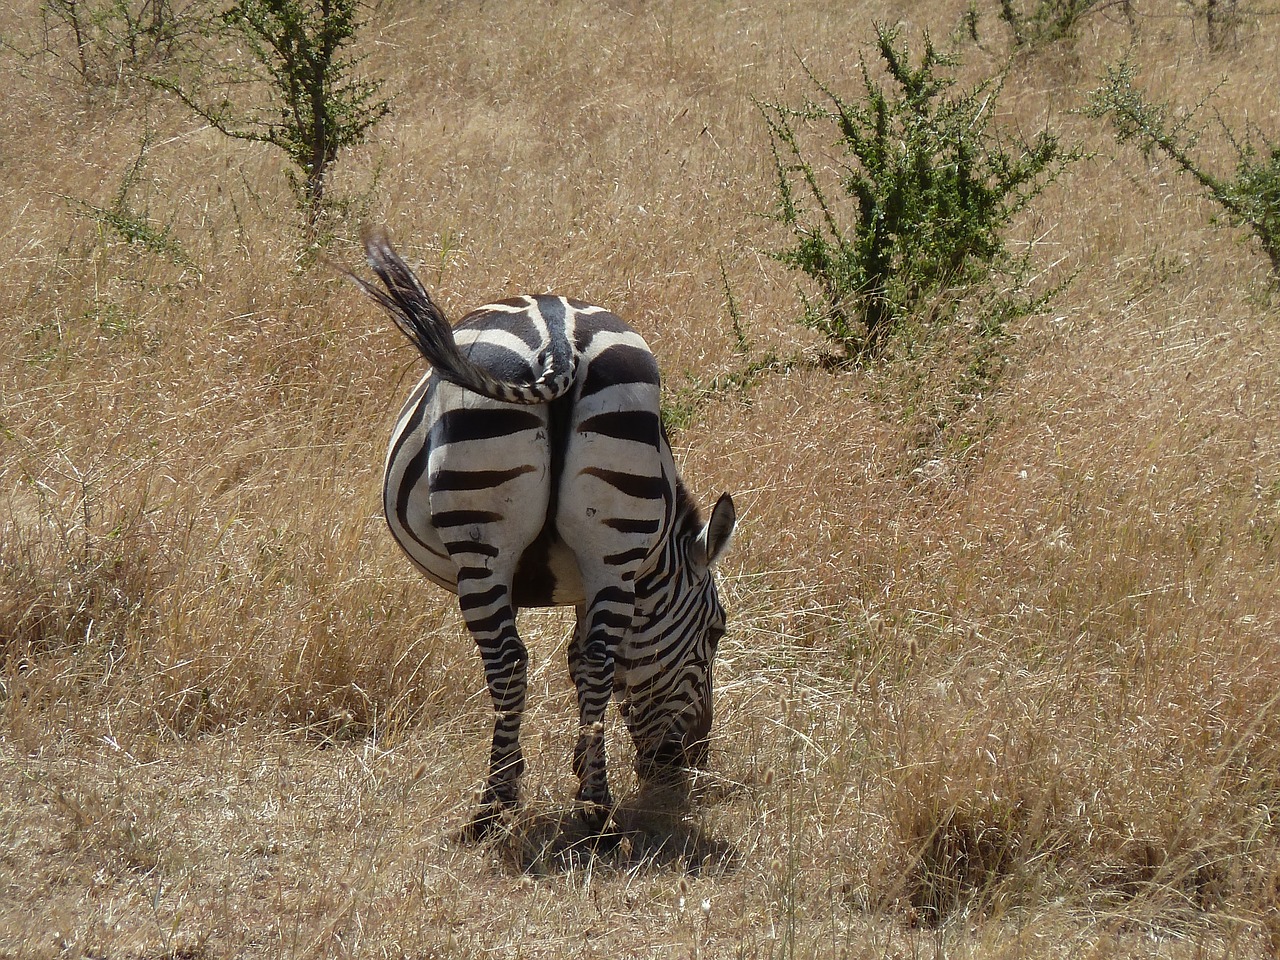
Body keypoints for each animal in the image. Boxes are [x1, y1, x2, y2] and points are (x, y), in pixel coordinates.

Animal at [345, 229, 737, 839]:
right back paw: (595, 812)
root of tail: (560, 343)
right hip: (612, 534)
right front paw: (582, 770)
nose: (688, 760)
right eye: (716, 630)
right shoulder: (608, 578)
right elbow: (583, 658)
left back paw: (494, 806)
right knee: (595, 659)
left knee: (508, 662)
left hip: (484, 544)